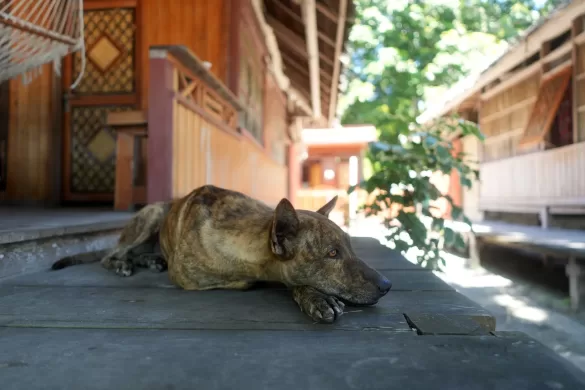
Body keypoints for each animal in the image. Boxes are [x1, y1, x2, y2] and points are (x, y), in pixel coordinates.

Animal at [52, 185, 392, 322]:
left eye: (349, 246)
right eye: (332, 253)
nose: (388, 285)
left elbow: (295, 282)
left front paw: (315, 297)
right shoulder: (192, 278)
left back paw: (151, 259)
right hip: (151, 215)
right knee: (111, 254)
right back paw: (123, 263)